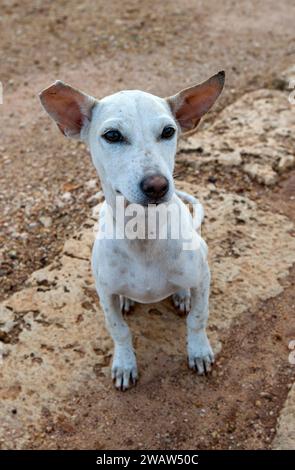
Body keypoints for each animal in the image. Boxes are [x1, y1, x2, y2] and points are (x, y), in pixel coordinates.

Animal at [38, 70, 224, 390]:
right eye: (112, 135)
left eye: (168, 131)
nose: (158, 186)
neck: (143, 233)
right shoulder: (103, 293)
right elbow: (119, 330)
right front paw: (125, 364)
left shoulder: (203, 278)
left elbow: (198, 318)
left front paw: (198, 350)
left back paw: (181, 295)